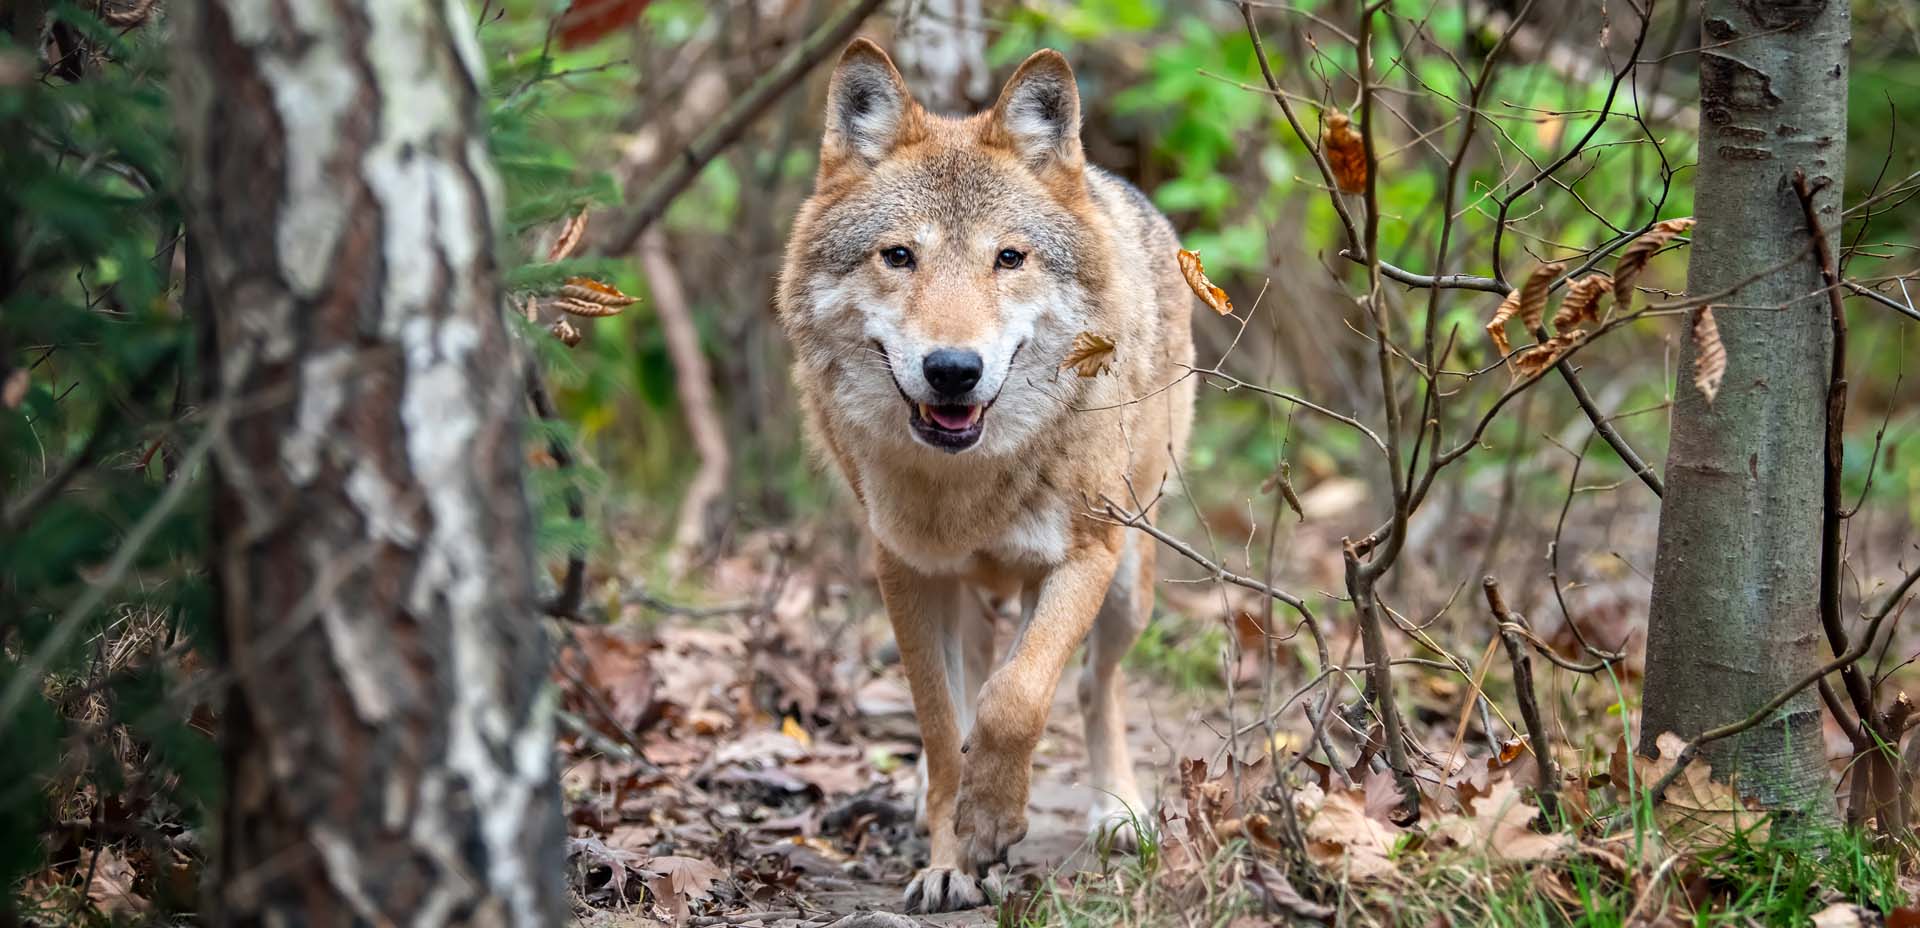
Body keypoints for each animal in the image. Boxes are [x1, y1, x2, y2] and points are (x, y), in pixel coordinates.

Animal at [775, 39, 1197, 913]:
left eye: (1009, 258)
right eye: (899, 255)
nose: (952, 369)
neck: (971, 482)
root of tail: (1124, 192)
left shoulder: (1084, 556)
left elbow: (1017, 700)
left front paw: (993, 824)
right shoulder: (904, 571)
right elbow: (945, 728)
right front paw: (949, 859)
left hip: (1131, 579)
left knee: (1092, 687)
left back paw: (1119, 812)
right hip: (970, 591)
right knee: (973, 683)